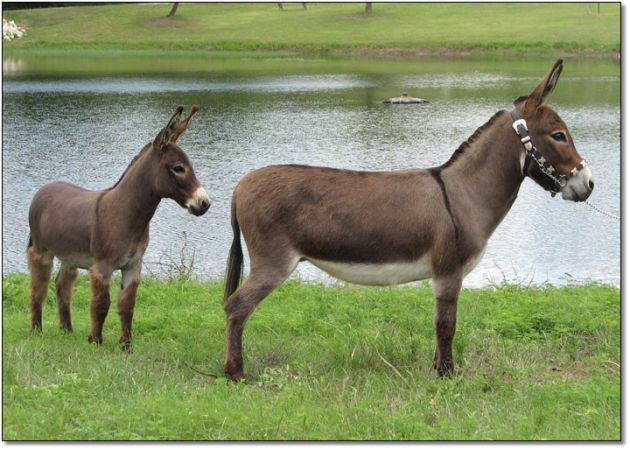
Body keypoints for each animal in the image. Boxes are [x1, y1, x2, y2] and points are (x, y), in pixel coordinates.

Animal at [27, 105, 211, 351]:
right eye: (178, 168)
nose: (205, 203)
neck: (127, 214)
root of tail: (44, 188)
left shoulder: (133, 266)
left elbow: (127, 306)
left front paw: (126, 346)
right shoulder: (102, 268)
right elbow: (101, 305)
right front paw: (95, 341)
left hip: (70, 257)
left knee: (62, 286)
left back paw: (67, 331)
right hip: (42, 252)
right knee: (38, 290)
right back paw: (36, 331)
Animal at [221, 60, 594, 381]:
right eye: (559, 135)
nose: (589, 184)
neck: (463, 192)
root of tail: (239, 185)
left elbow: (439, 324)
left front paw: (437, 370)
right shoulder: (448, 272)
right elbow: (447, 325)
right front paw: (448, 376)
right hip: (274, 262)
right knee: (236, 306)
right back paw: (235, 373)